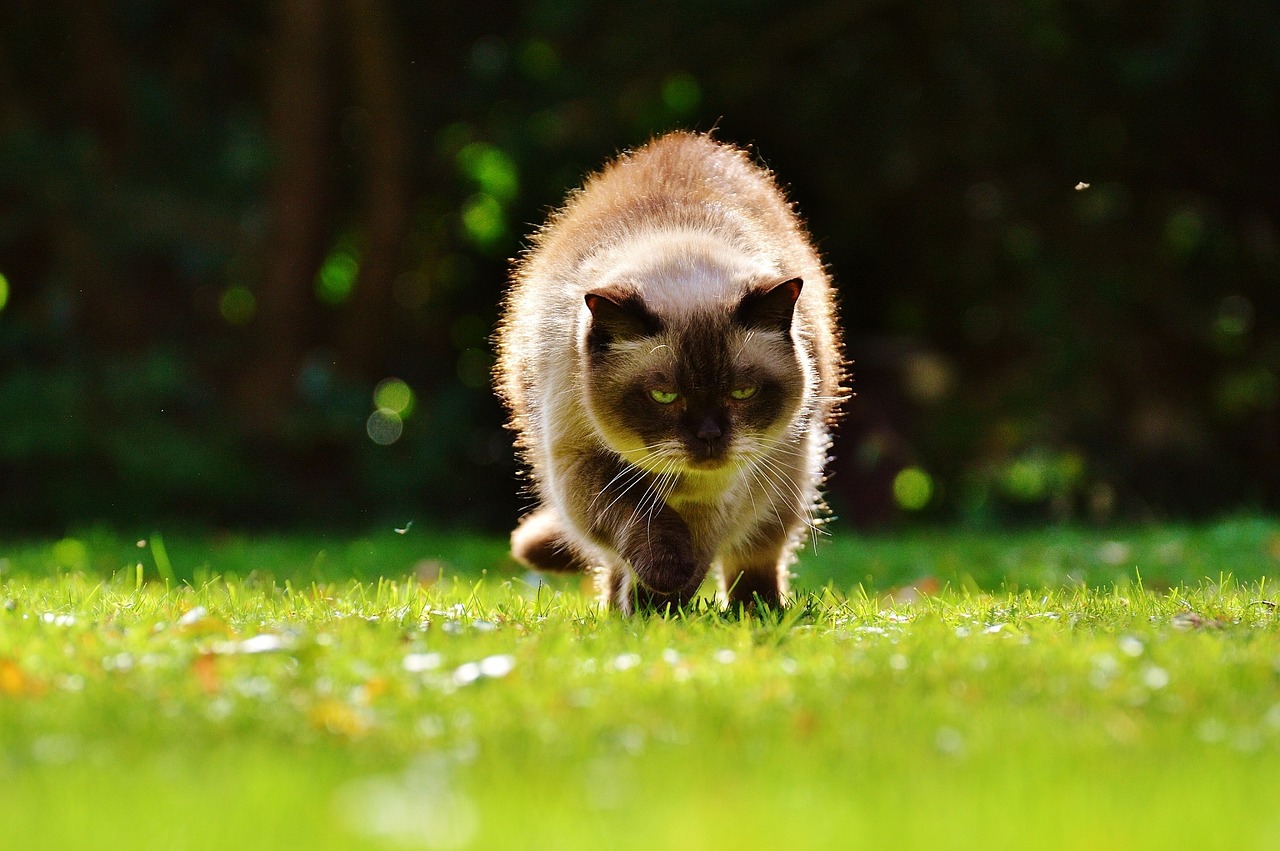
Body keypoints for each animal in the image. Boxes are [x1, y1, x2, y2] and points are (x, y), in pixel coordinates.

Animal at [494, 131, 844, 611]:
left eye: (742, 392)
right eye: (664, 396)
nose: (710, 436)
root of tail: (686, 139)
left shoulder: (730, 483)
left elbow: (699, 544)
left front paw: (664, 602)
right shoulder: (580, 462)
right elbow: (641, 520)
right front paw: (657, 590)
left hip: (788, 472)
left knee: (755, 556)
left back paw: (757, 613)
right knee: (616, 560)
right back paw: (619, 612)